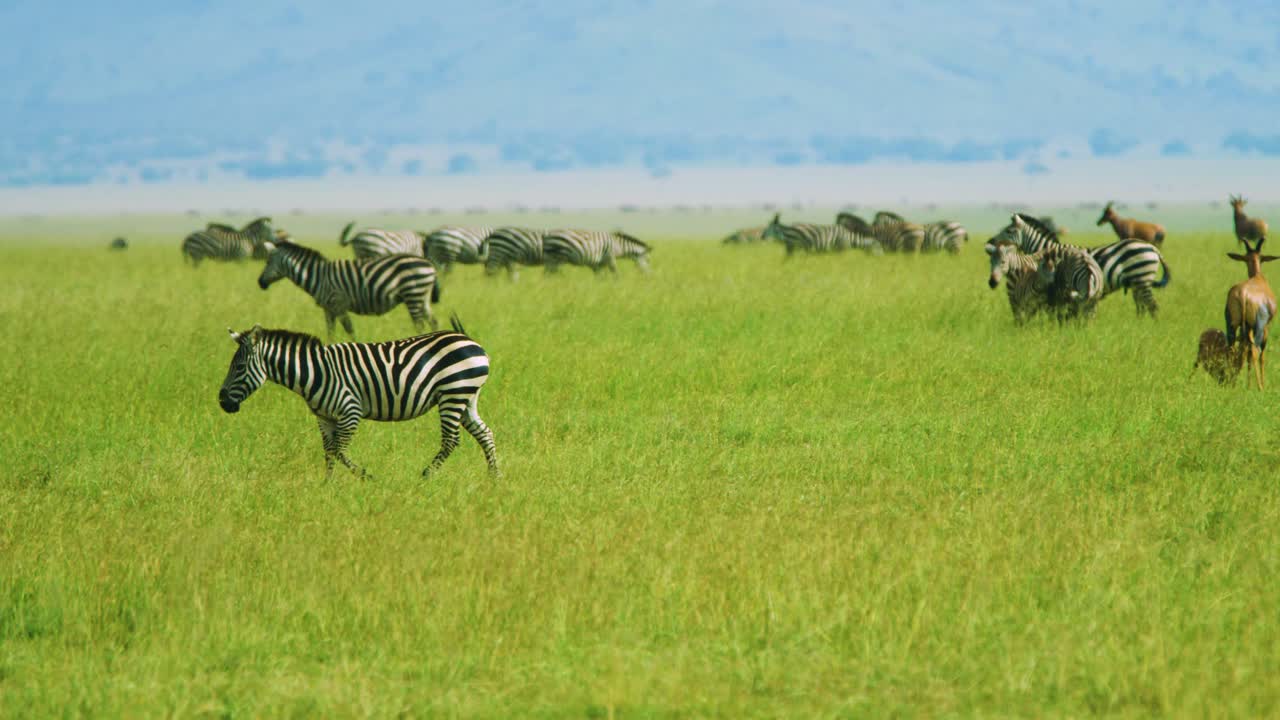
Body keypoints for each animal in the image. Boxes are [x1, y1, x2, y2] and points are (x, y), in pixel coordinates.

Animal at [217, 315, 497, 479]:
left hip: (453, 392)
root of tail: (470, 341)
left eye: (239, 368)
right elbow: (329, 452)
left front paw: (366, 476)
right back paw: (494, 478)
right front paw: (326, 486)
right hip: (466, 397)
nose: (222, 402)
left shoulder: (350, 411)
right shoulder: (324, 417)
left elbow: (340, 451)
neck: (316, 372)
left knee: (451, 440)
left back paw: (425, 476)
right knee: (485, 433)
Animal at [257, 240, 440, 339]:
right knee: (433, 321)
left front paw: (357, 346)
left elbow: (350, 330)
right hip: (422, 297)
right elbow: (330, 333)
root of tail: (428, 263)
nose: (260, 283)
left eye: (267, 262)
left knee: (419, 324)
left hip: (413, 294)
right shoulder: (329, 309)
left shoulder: (338, 305)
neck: (318, 276)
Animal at [987, 213, 1171, 316]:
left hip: (1141, 278)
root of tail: (1153, 248)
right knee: (1143, 307)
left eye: (1009, 230)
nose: (990, 242)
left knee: (1153, 307)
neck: (1047, 249)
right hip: (1137, 283)